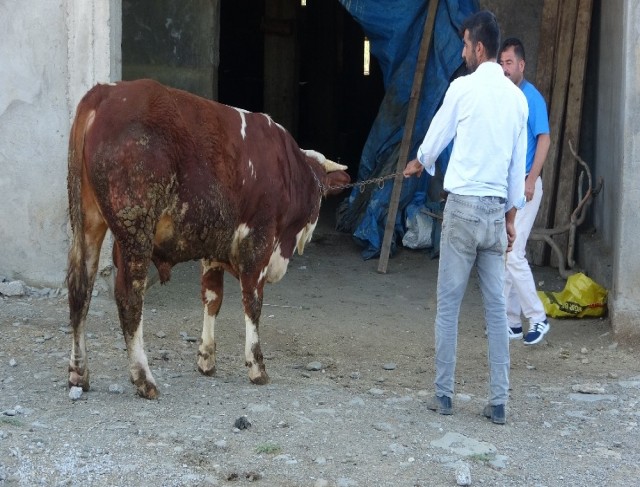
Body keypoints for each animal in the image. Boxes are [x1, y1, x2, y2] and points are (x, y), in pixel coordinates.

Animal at [66, 79, 350, 400]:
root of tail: (105, 91)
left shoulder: (214, 248)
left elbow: (213, 298)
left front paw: (206, 358)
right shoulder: (258, 242)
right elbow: (252, 302)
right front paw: (257, 367)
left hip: (87, 222)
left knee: (80, 289)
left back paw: (79, 373)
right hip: (135, 230)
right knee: (129, 297)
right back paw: (144, 378)